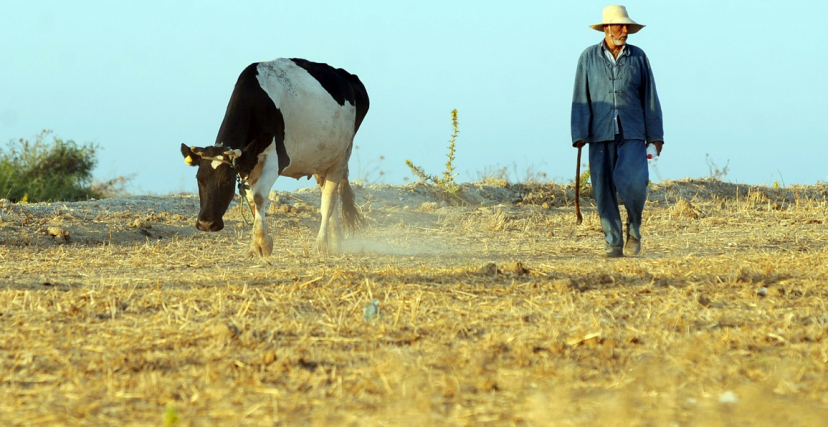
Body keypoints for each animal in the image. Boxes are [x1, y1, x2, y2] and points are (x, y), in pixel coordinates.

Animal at [180, 56, 368, 258]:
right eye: (199, 179)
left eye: (226, 181)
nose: (206, 224)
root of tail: (348, 76)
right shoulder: (248, 162)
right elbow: (251, 200)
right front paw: (256, 244)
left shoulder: (276, 158)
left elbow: (259, 196)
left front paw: (262, 244)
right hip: (320, 160)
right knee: (329, 194)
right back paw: (335, 240)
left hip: (342, 155)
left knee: (329, 199)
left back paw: (321, 244)